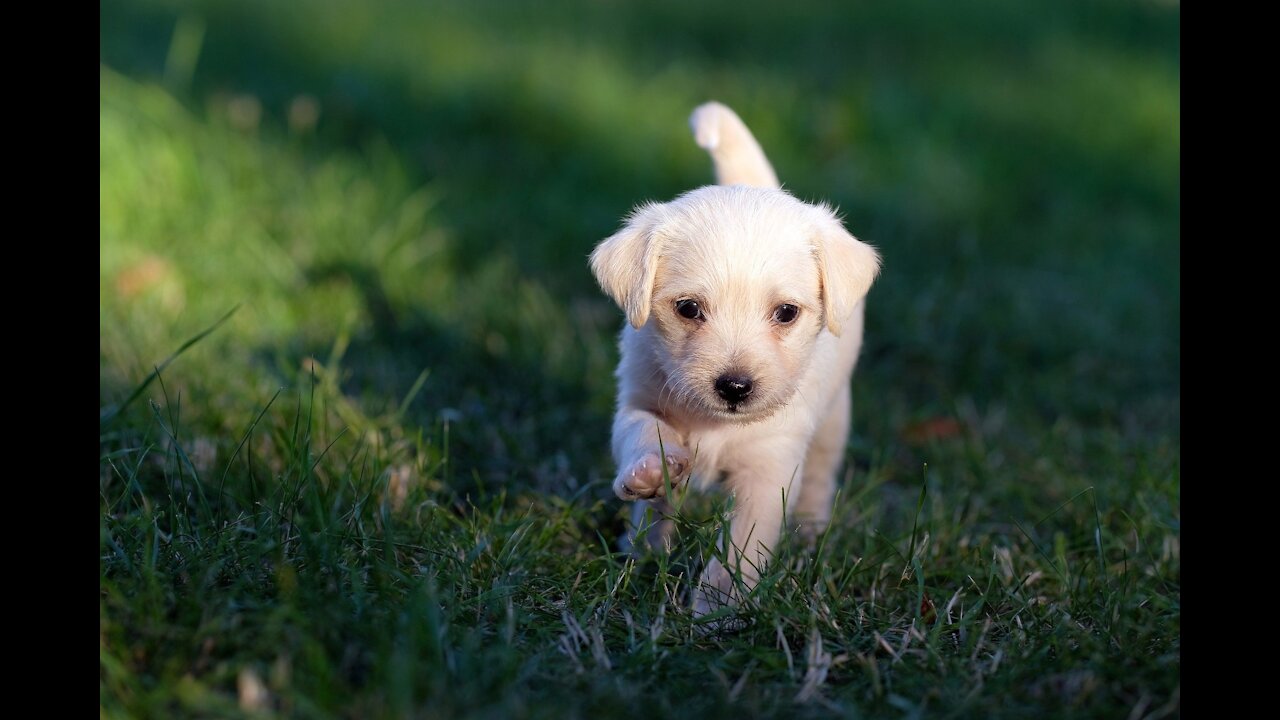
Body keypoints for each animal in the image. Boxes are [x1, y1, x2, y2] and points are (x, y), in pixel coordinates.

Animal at [588, 101, 880, 614]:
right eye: (688, 308)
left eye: (786, 313)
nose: (736, 387)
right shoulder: (639, 398)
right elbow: (643, 432)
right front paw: (650, 472)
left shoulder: (769, 470)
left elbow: (740, 548)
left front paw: (717, 610)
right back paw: (641, 547)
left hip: (833, 421)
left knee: (821, 476)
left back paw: (810, 532)